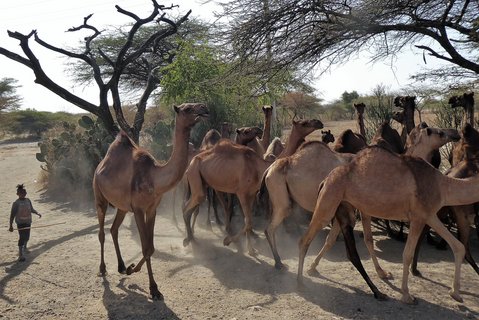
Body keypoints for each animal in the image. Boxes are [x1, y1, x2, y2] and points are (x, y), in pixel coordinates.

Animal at [93, 103, 209, 300]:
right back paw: (102, 269)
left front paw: (132, 270)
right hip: (99, 197)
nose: (204, 108)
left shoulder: (151, 209)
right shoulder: (139, 209)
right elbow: (146, 247)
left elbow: (151, 247)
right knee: (101, 232)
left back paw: (122, 266)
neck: (155, 178)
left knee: (114, 229)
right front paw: (153, 288)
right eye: (187, 108)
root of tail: (99, 167)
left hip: (122, 207)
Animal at [182, 117, 324, 255]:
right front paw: (228, 241)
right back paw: (188, 240)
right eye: (304, 122)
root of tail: (190, 164)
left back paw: (191, 238)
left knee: (190, 208)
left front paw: (250, 249)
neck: (260, 167)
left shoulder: (251, 194)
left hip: (202, 182)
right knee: (188, 206)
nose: (319, 122)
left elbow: (248, 221)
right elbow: (249, 221)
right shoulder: (242, 193)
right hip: (195, 176)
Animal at [296, 144, 479, 304]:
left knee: (333, 238)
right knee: (305, 239)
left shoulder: (429, 215)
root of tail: (325, 180)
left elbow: (458, 247)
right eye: (472, 167)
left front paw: (455, 293)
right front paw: (407, 295)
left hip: (342, 204)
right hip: (328, 202)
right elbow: (407, 254)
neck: (442, 186)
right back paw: (300, 282)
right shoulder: (418, 217)